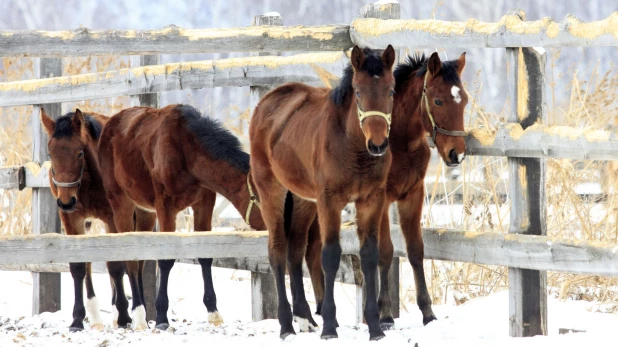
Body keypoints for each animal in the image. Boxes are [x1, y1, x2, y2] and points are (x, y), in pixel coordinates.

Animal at [40, 108, 156, 332]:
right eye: (51, 154)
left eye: (79, 153)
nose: (66, 201)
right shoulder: (73, 220)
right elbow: (79, 267)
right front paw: (77, 320)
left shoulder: (113, 219)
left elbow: (116, 267)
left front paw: (124, 316)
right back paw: (100, 317)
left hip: (143, 218)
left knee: (138, 263)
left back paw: (136, 313)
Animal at [97, 104, 276, 332]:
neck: (186, 150)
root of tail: (110, 123)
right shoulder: (165, 208)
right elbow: (165, 260)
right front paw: (162, 317)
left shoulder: (204, 203)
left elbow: (205, 256)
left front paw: (213, 312)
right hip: (121, 203)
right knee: (129, 259)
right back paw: (134, 315)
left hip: (145, 213)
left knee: (139, 259)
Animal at [247, 44, 394, 342]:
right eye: (358, 92)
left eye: (391, 90)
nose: (377, 144)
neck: (353, 147)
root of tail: (265, 103)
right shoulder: (329, 201)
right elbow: (330, 256)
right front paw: (328, 327)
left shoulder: (372, 200)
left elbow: (369, 255)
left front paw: (374, 327)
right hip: (271, 190)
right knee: (277, 250)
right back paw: (286, 325)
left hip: (304, 200)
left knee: (295, 250)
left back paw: (304, 317)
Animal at [306, 52, 464, 332]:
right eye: (438, 100)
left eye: (464, 99)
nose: (457, 154)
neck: (401, 141)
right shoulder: (381, 198)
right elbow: (386, 252)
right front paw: (386, 314)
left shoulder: (413, 195)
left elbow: (415, 250)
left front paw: (428, 312)